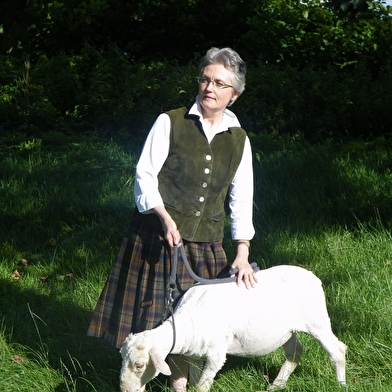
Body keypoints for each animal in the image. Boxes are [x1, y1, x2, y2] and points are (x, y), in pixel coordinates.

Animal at [118, 264, 346, 390]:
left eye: (139, 365)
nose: (125, 390)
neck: (186, 324)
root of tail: (313, 276)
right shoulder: (194, 355)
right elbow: (194, 382)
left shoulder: (216, 355)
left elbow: (202, 387)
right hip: (286, 330)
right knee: (295, 352)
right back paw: (276, 385)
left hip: (317, 321)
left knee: (338, 350)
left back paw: (340, 384)